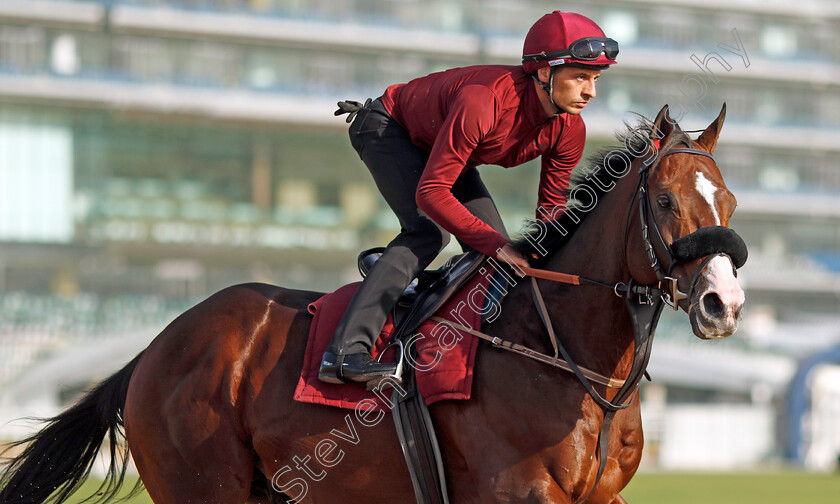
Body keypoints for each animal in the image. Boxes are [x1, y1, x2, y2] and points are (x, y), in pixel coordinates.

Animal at [1, 103, 748, 504]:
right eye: (664, 201)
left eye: (732, 203)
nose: (724, 302)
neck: (564, 356)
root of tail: (152, 350)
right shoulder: (517, 491)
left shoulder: (599, 493)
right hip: (202, 487)